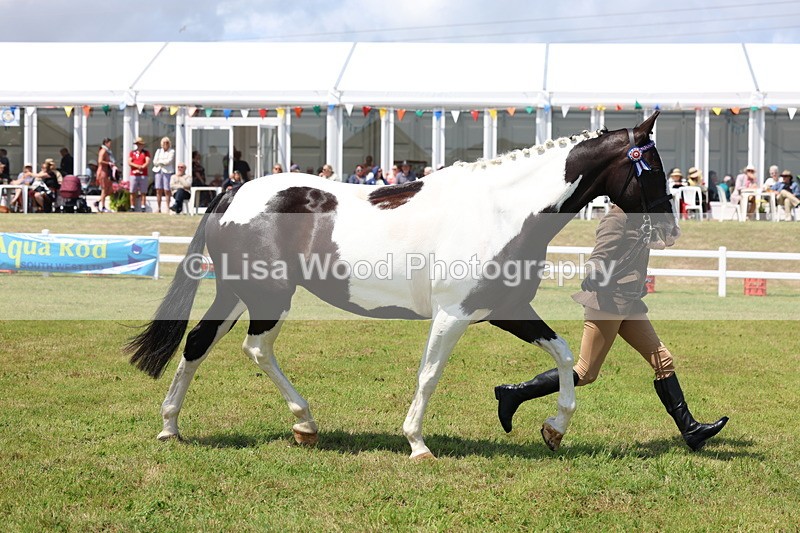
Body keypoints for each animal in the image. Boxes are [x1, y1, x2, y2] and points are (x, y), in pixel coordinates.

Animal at [127, 111, 678, 459]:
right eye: (650, 166)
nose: (669, 230)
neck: (503, 211)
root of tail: (234, 192)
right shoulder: (454, 315)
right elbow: (429, 375)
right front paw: (417, 443)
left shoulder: (505, 309)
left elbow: (564, 356)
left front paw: (554, 429)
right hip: (268, 297)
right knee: (256, 348)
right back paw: (304, 422)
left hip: (236, 293)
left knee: (197, 342)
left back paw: (170, 426)